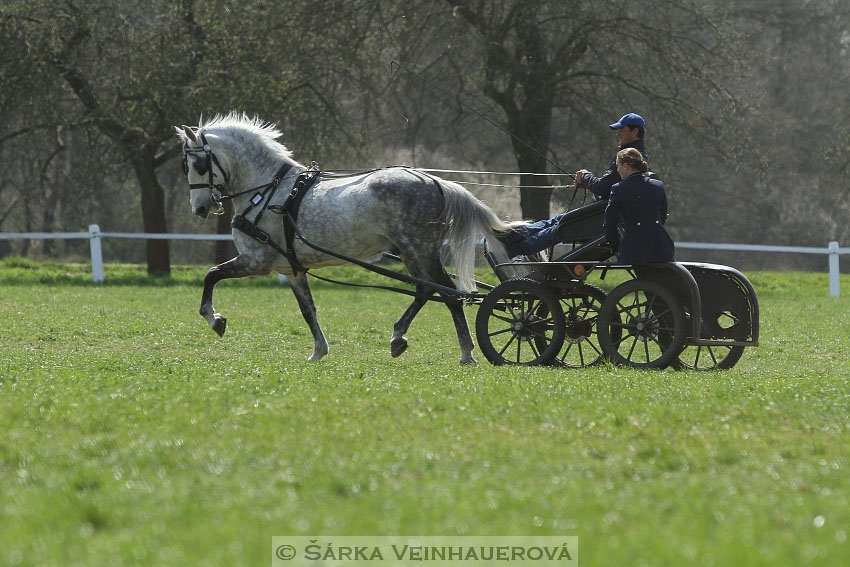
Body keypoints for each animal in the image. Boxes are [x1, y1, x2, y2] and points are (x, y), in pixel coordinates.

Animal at [176, 113, 512, 364]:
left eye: (199, 165)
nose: (200, 208)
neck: (268, 190)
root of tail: (433, 180)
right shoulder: (291, 268)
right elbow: (308, 310)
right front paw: (318, 351)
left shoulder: (255, 261)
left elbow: (211, 275)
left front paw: (214, 319)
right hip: (414, 251)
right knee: (431, 290)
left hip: (416, 249)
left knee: (441, 290)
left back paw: (445, 346)